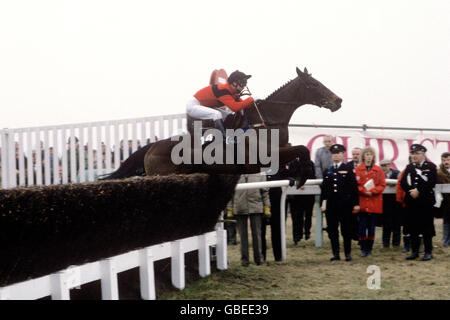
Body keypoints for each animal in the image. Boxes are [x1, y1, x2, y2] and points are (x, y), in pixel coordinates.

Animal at [143, 66, 342, 181]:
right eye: (314, 84)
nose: (338, 100)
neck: (266, 121)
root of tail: (150, 150)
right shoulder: (266, 155)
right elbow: (303, 149)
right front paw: (303, 176)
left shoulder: (283, 148)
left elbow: (299, 149)